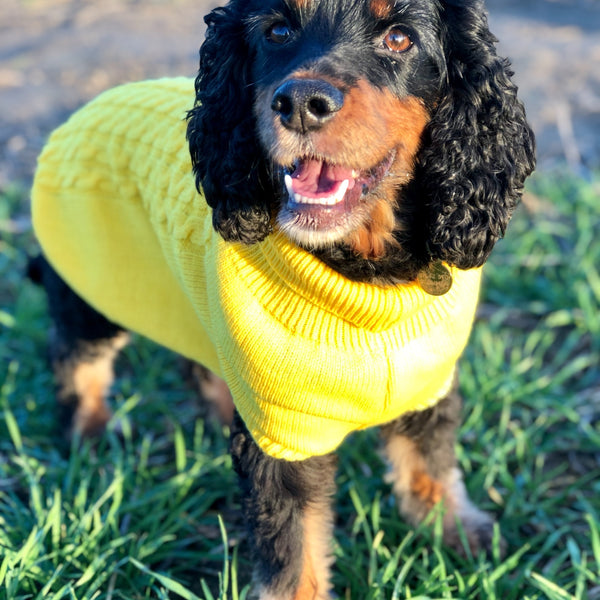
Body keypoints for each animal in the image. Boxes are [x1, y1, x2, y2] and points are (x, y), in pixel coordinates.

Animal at [29, 1, 536, 600]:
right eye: (277, 30)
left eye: (399, 38)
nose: (301, 104)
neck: (366, 279)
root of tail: (77, 114)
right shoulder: (282, 439)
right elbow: (294, 550)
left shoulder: (427, 383)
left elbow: (429, 462)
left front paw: (455, 529)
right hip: (87, 292)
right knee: (75, 360)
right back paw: (89, 434)